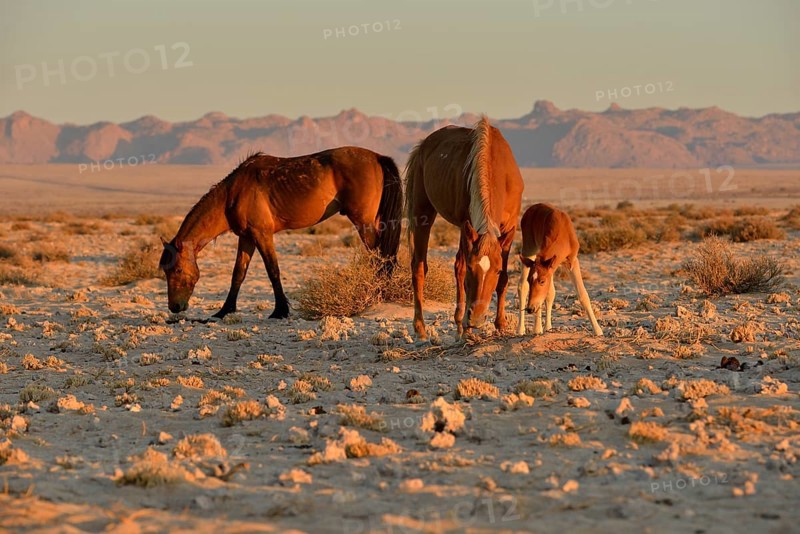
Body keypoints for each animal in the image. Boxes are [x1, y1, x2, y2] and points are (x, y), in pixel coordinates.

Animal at [158, 147, 402, 319]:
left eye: (177, 269)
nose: (175, 307)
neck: (232, 193)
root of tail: (377, 157)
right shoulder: (246, 238)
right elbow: (238, 274)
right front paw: (224, 311)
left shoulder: (262, 235)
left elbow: (273, 270)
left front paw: (280, 311)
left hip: (364, 224)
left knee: (380, 259)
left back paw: (378, 295)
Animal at [405, 116, 523, 339]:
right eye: (471, 268)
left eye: (495, 271)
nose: (476, 318)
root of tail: (424, 145)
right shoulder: (465, 225)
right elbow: (460, 269)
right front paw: (465, 325)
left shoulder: (509, 229)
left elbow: (504, 278)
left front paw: (501, 324)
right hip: (422, 213)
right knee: (419, 266)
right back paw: (422, 328)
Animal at [517, 203, 603, 336]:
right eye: (530, 280)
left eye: (542, 281)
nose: (530, 308)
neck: (562, 232)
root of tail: (531, 209)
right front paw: (537, 329)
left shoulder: (571, 262)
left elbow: (582, 295)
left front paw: (598, 330)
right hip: (528, 250)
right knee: (522, 286)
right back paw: (522, 329)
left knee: (550, 293)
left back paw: (547, 327)